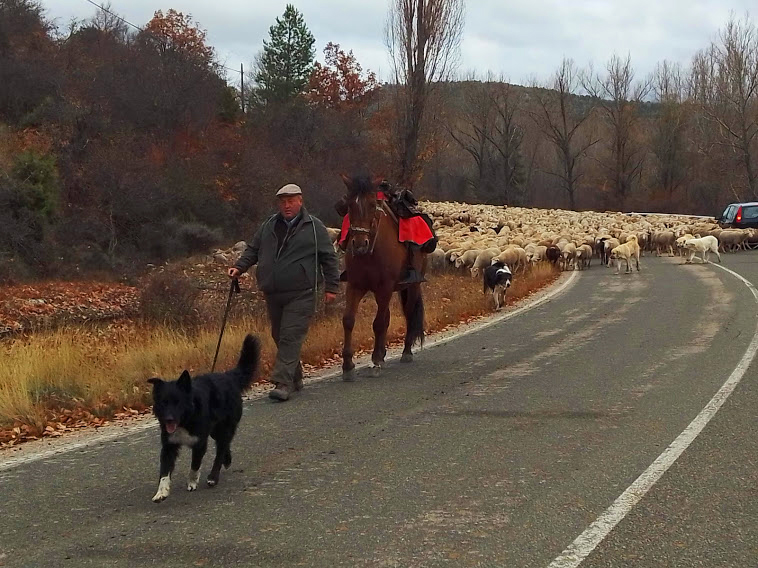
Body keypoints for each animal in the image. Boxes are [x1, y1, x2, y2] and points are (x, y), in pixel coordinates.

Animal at [148, 332, 262, 502]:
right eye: (164, 402)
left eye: (177, 402)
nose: (169, 419)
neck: (185, 420)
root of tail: (229, 377)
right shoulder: (169, 446)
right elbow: (164, 473)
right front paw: (161, 492)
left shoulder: (200, 443)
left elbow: (195, 465)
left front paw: (192, 483)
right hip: (215, 430)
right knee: (225, 446)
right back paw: (227, 460)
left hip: (224, 428)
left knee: (220, 451)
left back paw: (213, 477)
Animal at [340, 172, 424, 378]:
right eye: (349, 205)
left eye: (372, 205)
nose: (359, 244)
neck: (371, 252)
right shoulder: (355, 286)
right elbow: (349, 320)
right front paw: (348, 365)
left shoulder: (384, 287)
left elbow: (378, 323)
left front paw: (376, 359)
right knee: (386, 317)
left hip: (411, 287)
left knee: (409, 313)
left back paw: (406, 351)